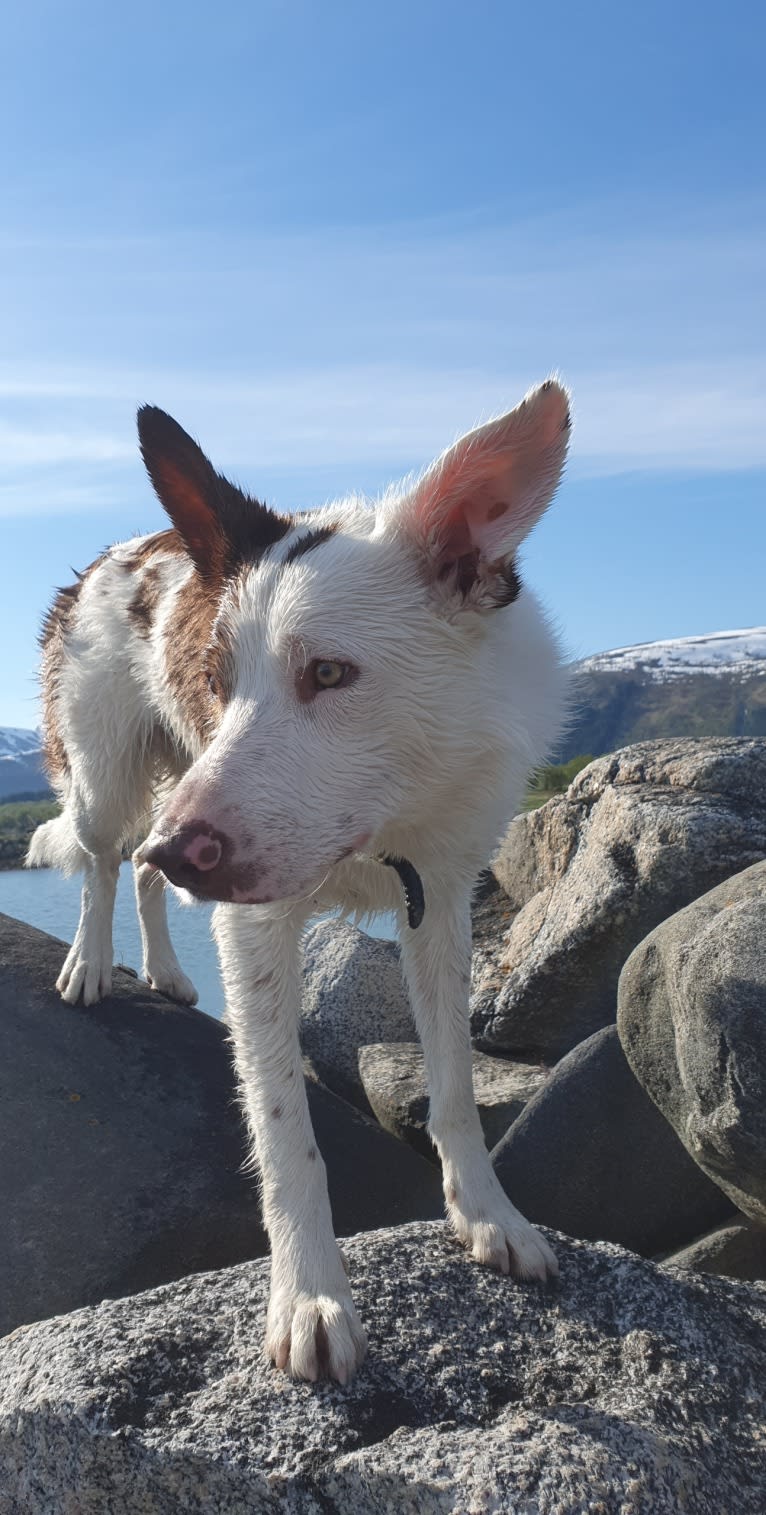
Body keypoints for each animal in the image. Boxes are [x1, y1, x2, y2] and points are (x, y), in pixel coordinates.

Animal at [28, 378, 569, 1387]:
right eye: (214, 676)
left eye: (328, 671)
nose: (184, 850)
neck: (382, 823)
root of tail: (114, 553)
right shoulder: (256, 923)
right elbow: (286, 1131)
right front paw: (311, 1295)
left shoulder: (442, 904)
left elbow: (454, 1085)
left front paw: (489, 1213)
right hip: (113, 775)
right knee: (104, 861)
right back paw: (89, 962)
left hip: (174, 784)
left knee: (141, 874)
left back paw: (166, 967)